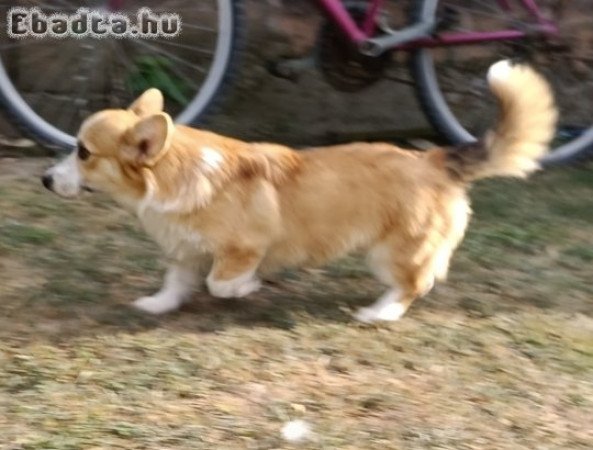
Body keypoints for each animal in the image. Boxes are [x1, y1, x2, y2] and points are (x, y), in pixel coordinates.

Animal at [42, 61, 556, 322]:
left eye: (83, 152)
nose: (45, 179)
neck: (171, 171)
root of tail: (433, 159)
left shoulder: (242, 249)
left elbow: (220, 282)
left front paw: (247, 288)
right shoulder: (184, 249)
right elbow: (177, 281)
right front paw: (158, 304)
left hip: (392, 252)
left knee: (414, 284)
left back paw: (380, 313)